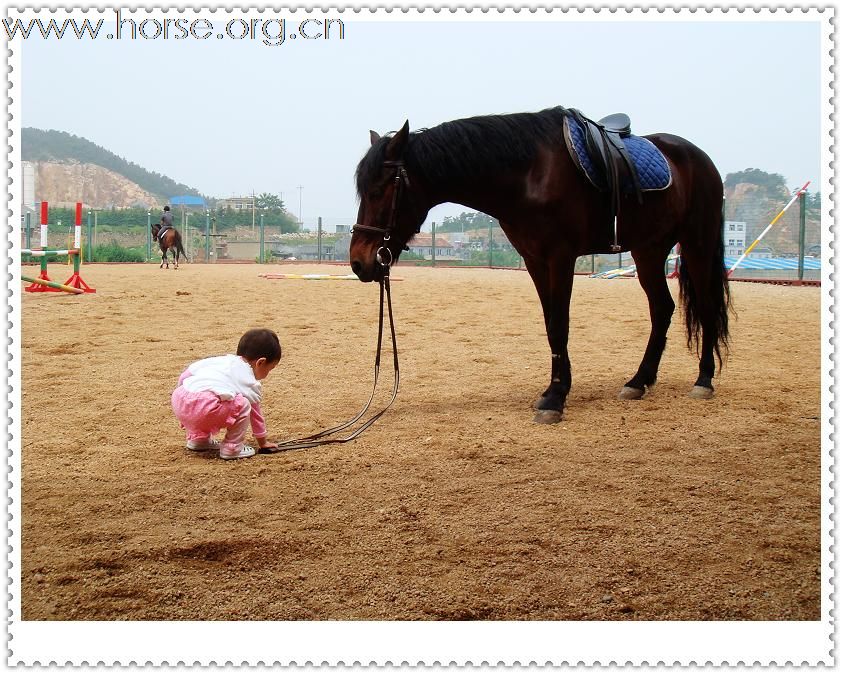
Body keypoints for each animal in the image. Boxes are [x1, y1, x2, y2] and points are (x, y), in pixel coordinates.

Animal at [348, 107, 728, 422]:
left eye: (381, 189)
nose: (359, 262)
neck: (529, 173)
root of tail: (698, 158)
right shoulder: (533, 259)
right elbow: (549, 324)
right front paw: (555, 388)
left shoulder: (560, 256)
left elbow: (560, 323)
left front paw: (555, 398)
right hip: (648, 250)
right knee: (662, 309)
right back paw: (639, 381)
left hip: (697, 243)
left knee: (707, 307)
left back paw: (703, 379)